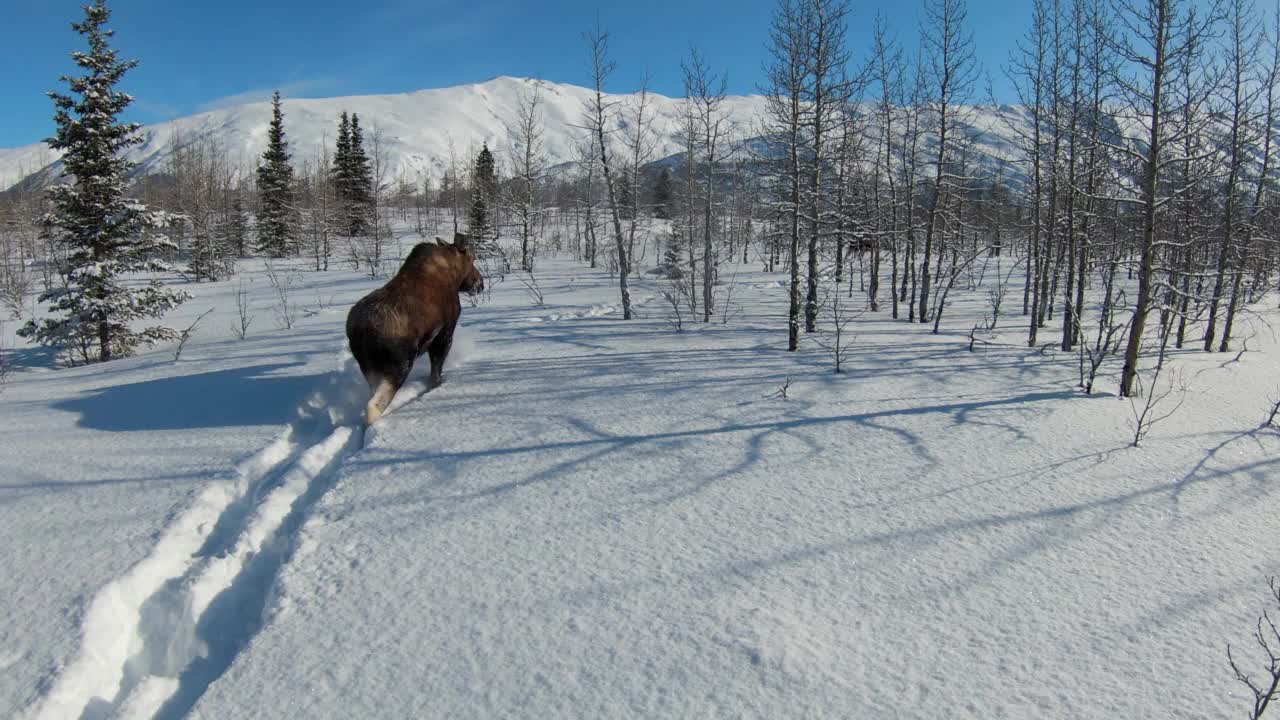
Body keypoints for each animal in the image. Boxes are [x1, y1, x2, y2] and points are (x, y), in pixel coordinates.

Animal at [345, 229, 483, 422]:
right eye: (472, 258)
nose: (480, 283)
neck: (453, 277)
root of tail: (359, 330)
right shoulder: (444, 334)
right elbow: (436, 372)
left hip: (369, 369)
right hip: (399, 365)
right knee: (374, 405)